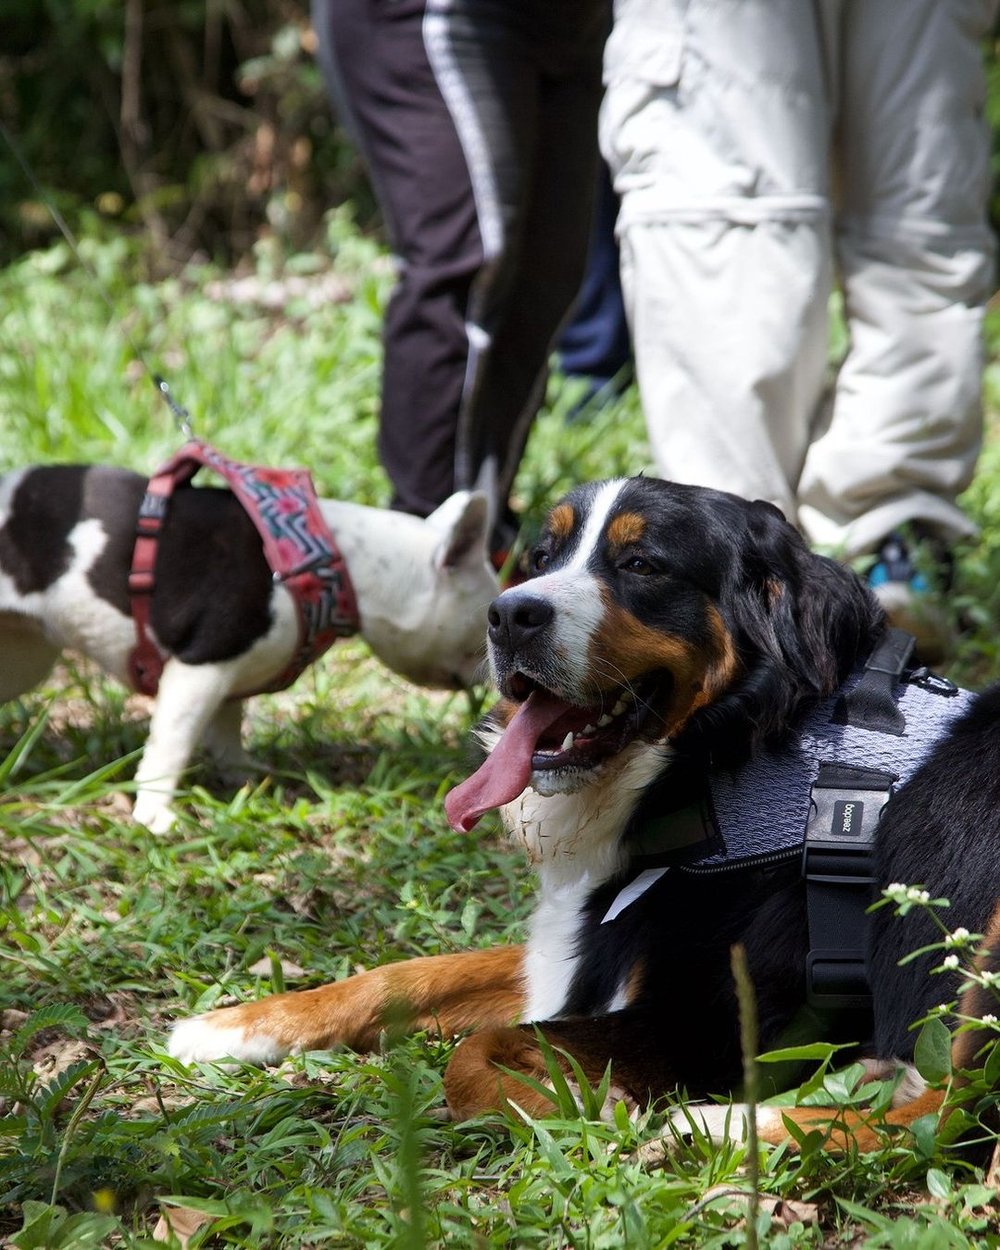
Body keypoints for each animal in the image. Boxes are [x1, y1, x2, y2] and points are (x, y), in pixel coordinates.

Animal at [0, 467, 500, 830]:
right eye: (484, 621)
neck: (330, 563)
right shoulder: (200, 666)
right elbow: (173, 739)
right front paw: (155, 811)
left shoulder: (227, 672)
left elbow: (225, 725)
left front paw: (240, 773)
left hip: (24, 657)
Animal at [170, 475, 1000, 1150]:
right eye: (542, 554)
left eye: (642, 565)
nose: (507, 616)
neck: (724, 759)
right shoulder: (573, 952)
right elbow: (405, 974)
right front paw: (235, 1024)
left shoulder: (721, 1018)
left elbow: (475, 1054)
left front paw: (574, 1108)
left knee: (952, 1113)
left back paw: (719, 1129)